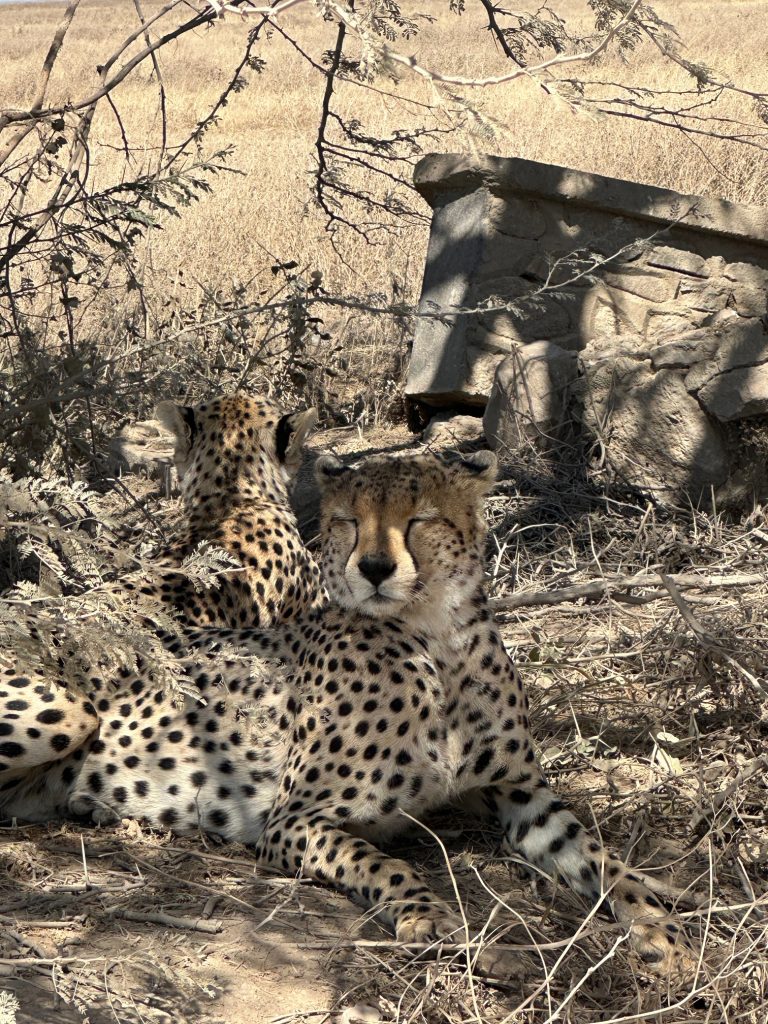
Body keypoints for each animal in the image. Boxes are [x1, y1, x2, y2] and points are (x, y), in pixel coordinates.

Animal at [1, 449, 694, 983]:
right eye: (347, 521)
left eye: (419, 519)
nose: (375, 568)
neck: (435, 642)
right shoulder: (292, 820)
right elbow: (385, 864)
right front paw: (434, 920)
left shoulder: (523, 795)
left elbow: (602, 859)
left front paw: (662, 923)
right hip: (68, 711)